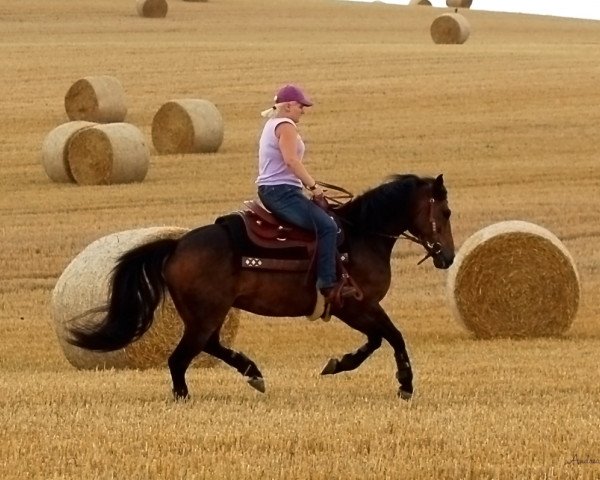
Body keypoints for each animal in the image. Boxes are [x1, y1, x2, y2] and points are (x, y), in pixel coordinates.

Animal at [68, 174, 454, 400]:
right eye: (446, 212)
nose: (448, 256)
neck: (360, 237)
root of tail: (176, 245)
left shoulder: (353, 308)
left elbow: (376, 339)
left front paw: (338, 363)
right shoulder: (357, 304)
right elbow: (393, 336)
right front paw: (405, 383)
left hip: (207, 314)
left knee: (209, 346)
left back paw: (253, 373)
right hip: (206, 313)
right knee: (181, 357)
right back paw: (186, 395)